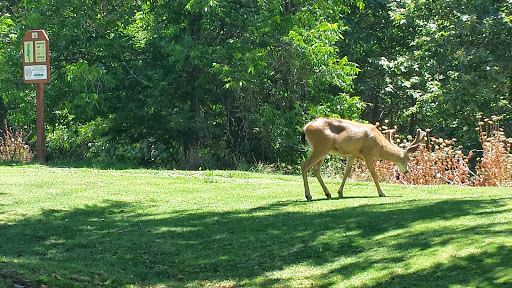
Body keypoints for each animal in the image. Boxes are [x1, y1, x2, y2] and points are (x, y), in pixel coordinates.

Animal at [298, 117, 426, 200]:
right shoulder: (367, 154)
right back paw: (308, 196)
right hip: (321, 147)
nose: (407, 171)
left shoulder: (352, 155)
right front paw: (381, 193)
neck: (380, 147)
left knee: (315, 168)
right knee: (304, 165)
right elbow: (373, 173)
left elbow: (347, 172)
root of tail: (305, 128)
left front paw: (340, 192)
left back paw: (328, 194)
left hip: (324, 150)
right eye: (408, 159)